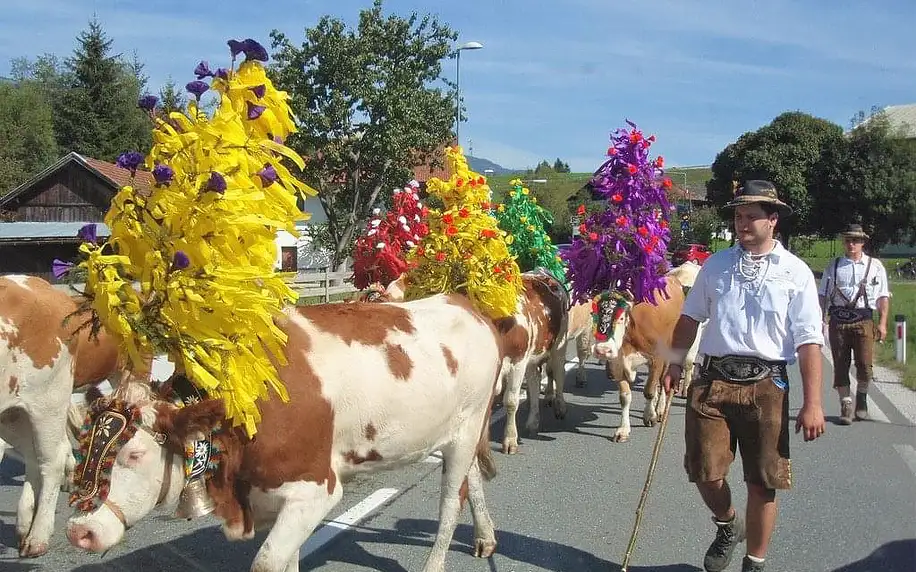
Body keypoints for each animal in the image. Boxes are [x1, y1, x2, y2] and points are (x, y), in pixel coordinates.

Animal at [0, 274, 127, 556]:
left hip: (48, 399)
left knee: (52, 459)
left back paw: (37, 537)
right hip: (15, 412)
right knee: (34, 456)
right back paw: (25, 524)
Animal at [68, 292, 504, 572]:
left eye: (134, 455)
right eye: (81, 450)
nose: (78, 532)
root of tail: (465, 303)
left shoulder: (316, 489)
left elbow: (267, 562)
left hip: (467, 428)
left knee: (450, 502)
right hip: (464, 430)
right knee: (473, 479)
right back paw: (486, 537)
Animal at [592, 264, 704, 442]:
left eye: (621, 318)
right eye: (595, 315)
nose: (603, 350)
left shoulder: (657, 359)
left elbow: (650, 391)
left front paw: (650, 416)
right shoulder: (617, 364)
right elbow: (625, 396)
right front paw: (623, 430)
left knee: (665, 381)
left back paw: (661, 408)